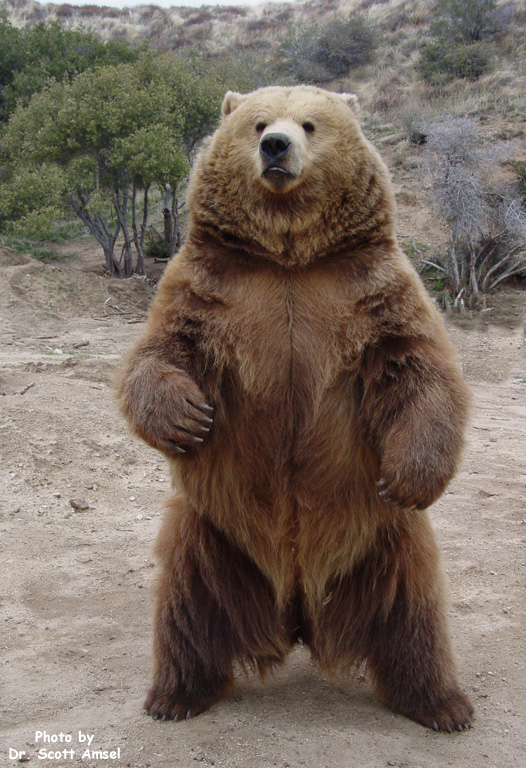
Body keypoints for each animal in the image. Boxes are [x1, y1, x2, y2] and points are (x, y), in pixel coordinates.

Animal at [117, 85, 474, 732]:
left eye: (309, 124)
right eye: (257, 123)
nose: (276, 146)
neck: (289, 256)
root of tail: (299, 614)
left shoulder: (371, 289)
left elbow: (420, 371)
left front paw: (410, 475)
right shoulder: (210, 286)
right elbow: (160, 350)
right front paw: (187, 416)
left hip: (385, 539)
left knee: (415, 615)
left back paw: (443, 705)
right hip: (211, 533)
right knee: (186, 606)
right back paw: (174, 696)